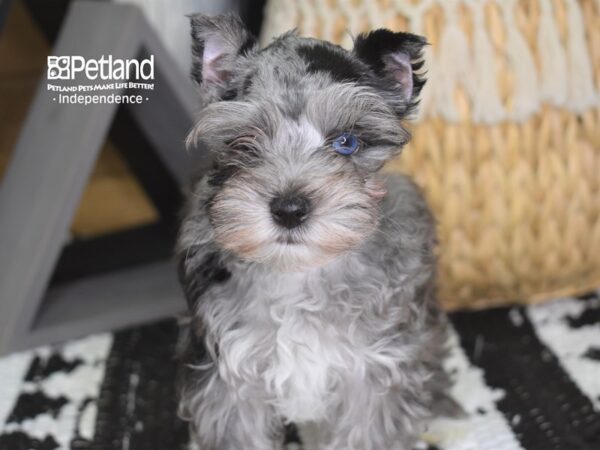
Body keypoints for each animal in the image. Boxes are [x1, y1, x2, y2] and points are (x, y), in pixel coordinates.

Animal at [177, 14, 454, 450]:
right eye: (244, 142)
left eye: (347, 142)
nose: (289, 210)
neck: (300, 272)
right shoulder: (230, 379)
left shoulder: (373, 375)